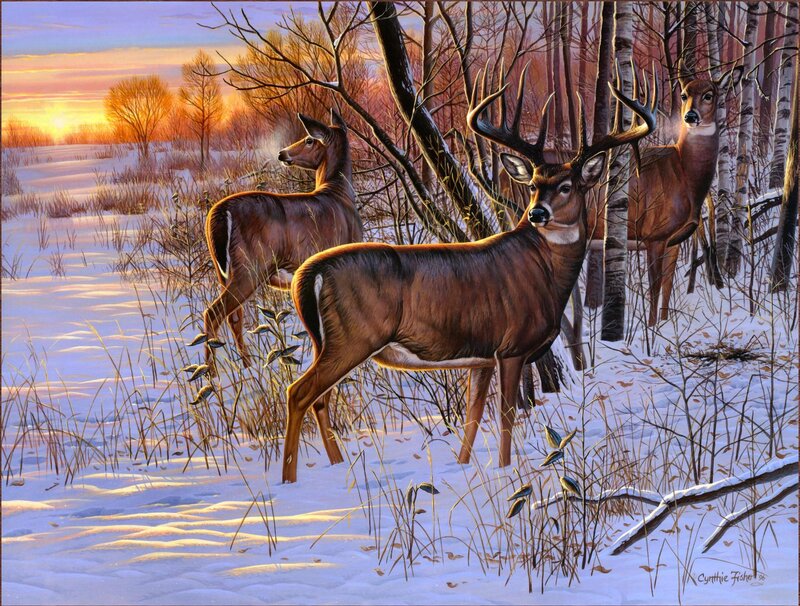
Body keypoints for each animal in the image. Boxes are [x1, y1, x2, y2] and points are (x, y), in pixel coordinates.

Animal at [202, 110, 362, 370]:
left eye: (309, 140)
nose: (282, 153)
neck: (339, 194)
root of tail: (220, 213)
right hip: (250, 266)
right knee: (214, 313)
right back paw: (211, 373)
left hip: (223, 270)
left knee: (233, 316)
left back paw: (247, 366)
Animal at [279, 67, 657, 483]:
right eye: (532, 185)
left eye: (566, 186)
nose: (537, 213)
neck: (544, 272)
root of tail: (309, 272)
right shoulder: (511, 347)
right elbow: (506, 417)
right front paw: (506, 471)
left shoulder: (481, 358)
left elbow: (473, 418)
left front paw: (465, 465)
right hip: (352, 338)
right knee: (298, 392)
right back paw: (289, 480)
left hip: (328, 342)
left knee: (320, 398)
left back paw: (333, 465)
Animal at [586, 64, 742, 326]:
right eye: (684, 95)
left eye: (709, 94)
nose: (690, 117)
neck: (683, 175)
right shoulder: (654, 235)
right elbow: (655, 286)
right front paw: (651, 328)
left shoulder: (674, 239)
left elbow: (668, 285)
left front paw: (664, 324)